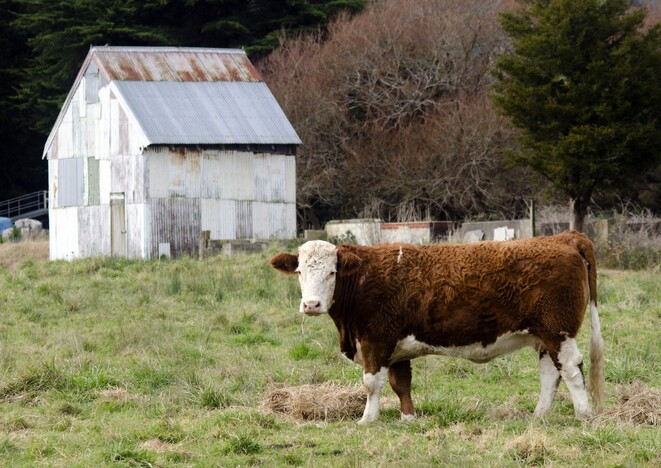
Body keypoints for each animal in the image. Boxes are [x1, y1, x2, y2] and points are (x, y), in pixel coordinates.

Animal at [270, 231, 605, 424]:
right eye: (299, 271)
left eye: (332, 272)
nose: (311, 305)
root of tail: (565, 237)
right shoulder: (396, 345)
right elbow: (401, 383)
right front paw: (408, 418)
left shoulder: (375, 340)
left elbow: (371, 384)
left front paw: (367, 420)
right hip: (545, 335)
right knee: (551, 373)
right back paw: (539, 415)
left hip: (558, 331)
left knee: (571, 370)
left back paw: (584, 415)